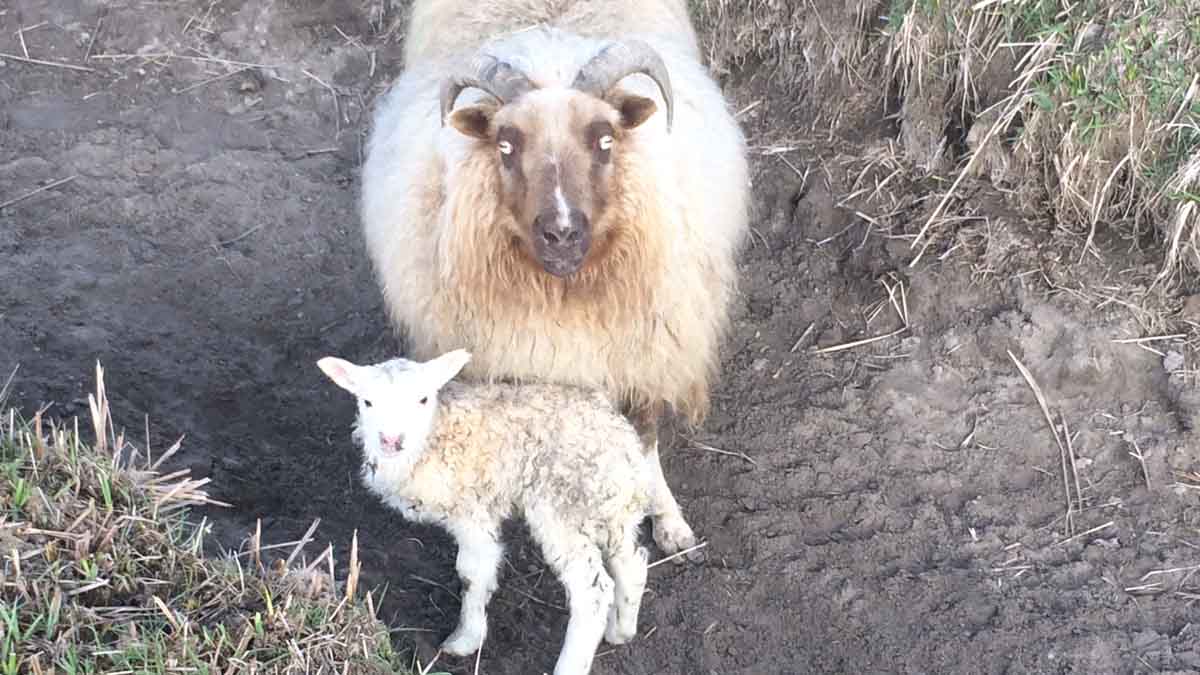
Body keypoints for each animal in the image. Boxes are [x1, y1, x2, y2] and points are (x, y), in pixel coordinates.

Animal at [316, 345, 657, 672]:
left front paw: (465, 639)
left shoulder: (472, 511)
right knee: (633, 561)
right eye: (367, 402)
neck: (435, 435)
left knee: (592, 591)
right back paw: (622, 629)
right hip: (611, 506)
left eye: (422, 399)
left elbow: (472, 572)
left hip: (561, 507)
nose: (390, 440)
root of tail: (622, 443)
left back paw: (571, 664)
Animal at [355, 0, 748, 557]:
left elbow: (644, 437)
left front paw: (667, 519)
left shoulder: (646, 353)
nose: (561, 233)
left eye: (605, 140)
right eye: (505, 145)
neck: (567, 293)